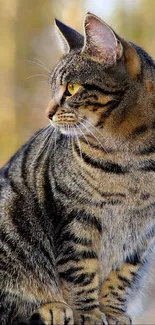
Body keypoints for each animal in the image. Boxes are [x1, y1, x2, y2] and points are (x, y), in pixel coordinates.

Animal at [0, 12, 155, 324]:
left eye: (71, 88)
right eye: (53, 88)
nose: (47, 112)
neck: (132, 156)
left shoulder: (143, 232)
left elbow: (123, 274)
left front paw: (112, 312)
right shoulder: (76, 215)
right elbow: (80, 269)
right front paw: (89, 313)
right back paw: (52, 307)